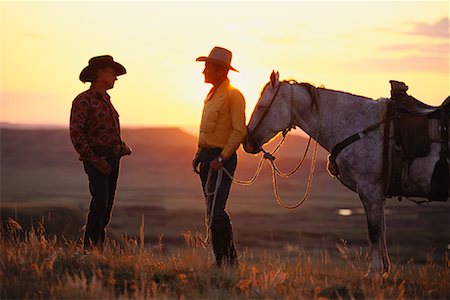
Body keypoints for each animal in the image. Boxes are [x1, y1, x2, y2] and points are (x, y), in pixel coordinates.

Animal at [244, 71, 448, 278]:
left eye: (261, 106)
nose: (247, 143)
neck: (361, 127)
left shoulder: (370, 190)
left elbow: (374, 231)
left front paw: (373, 273)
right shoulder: (378, 195)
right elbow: (381, 230)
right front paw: (383, 270)